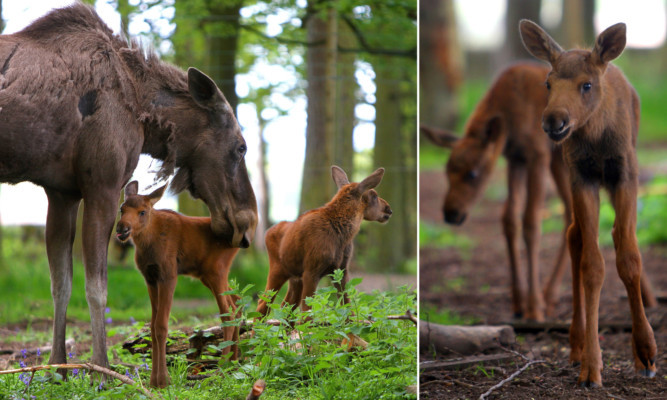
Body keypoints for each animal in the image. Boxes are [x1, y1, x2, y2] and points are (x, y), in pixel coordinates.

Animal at [117, 181, 243, 388]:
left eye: (142, 211)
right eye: (122, 209)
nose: (122, 229)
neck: (146, 244)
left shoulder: (168, 275)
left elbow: (161, 325)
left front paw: (163, 380)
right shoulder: (150, 278)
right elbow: (152, 326)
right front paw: (154, 380)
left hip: (216, 271)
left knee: (228, 313)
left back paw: (222, 368)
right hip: (208, 275)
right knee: (237, 302)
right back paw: (234, 362)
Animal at [256, 166, 392, 316]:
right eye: (374, 195)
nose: (388, 209)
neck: (343, 235)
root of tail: (267, 232)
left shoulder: (341, 270)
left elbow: (347, 307)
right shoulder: (311, 271)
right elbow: (308, 311)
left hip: (295, 277)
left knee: (286, 306)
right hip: (278, 270)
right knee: (263, 304)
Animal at [520, 20, 656, 386]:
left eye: (587, 84)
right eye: (548, 82)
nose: (554, 121)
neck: (597, 135)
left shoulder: (626, 174)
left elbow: (630, 257)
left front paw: (647, 352)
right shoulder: (582, 176)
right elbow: (593, 265)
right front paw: (592, 367)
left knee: (613, 238)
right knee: (575, 237)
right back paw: (577, 345)